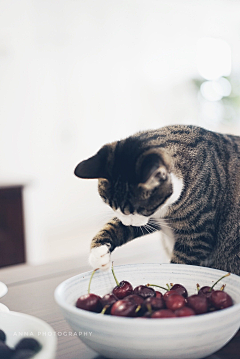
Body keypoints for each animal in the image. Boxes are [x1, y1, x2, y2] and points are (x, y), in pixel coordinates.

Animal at [74, 124, 240, 276]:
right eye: (110, 205)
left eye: (142, 210)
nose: (127, 222)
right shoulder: (152, 219)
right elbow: (113, 227)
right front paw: (99, 255)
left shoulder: (196, 236)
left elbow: (181, 264)